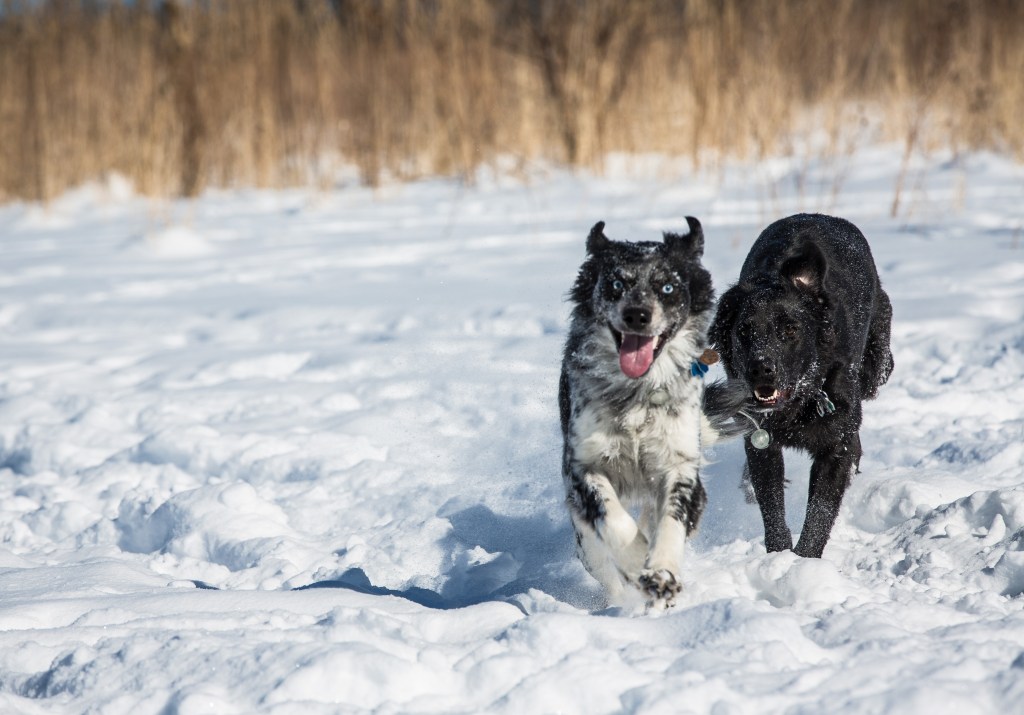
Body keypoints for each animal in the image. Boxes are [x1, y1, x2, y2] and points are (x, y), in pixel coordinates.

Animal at [559, 218, 747, 609]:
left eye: (668, 286)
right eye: (616, 283)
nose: (637, 314)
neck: (637, 395)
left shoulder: (679, 464)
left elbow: (672, 519)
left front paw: (661, 573)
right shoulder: (582, 466)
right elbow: (612, 521)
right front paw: (636, 563)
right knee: (597, 554)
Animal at [709, 213, 894, 558]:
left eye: (790, 330)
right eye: (744, 330)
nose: (761, 369)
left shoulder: (835, 445)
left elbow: (821, 509)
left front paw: (804, 559)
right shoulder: (761, 440)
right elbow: (771, 504)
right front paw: (779, 554)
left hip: (875, 365)